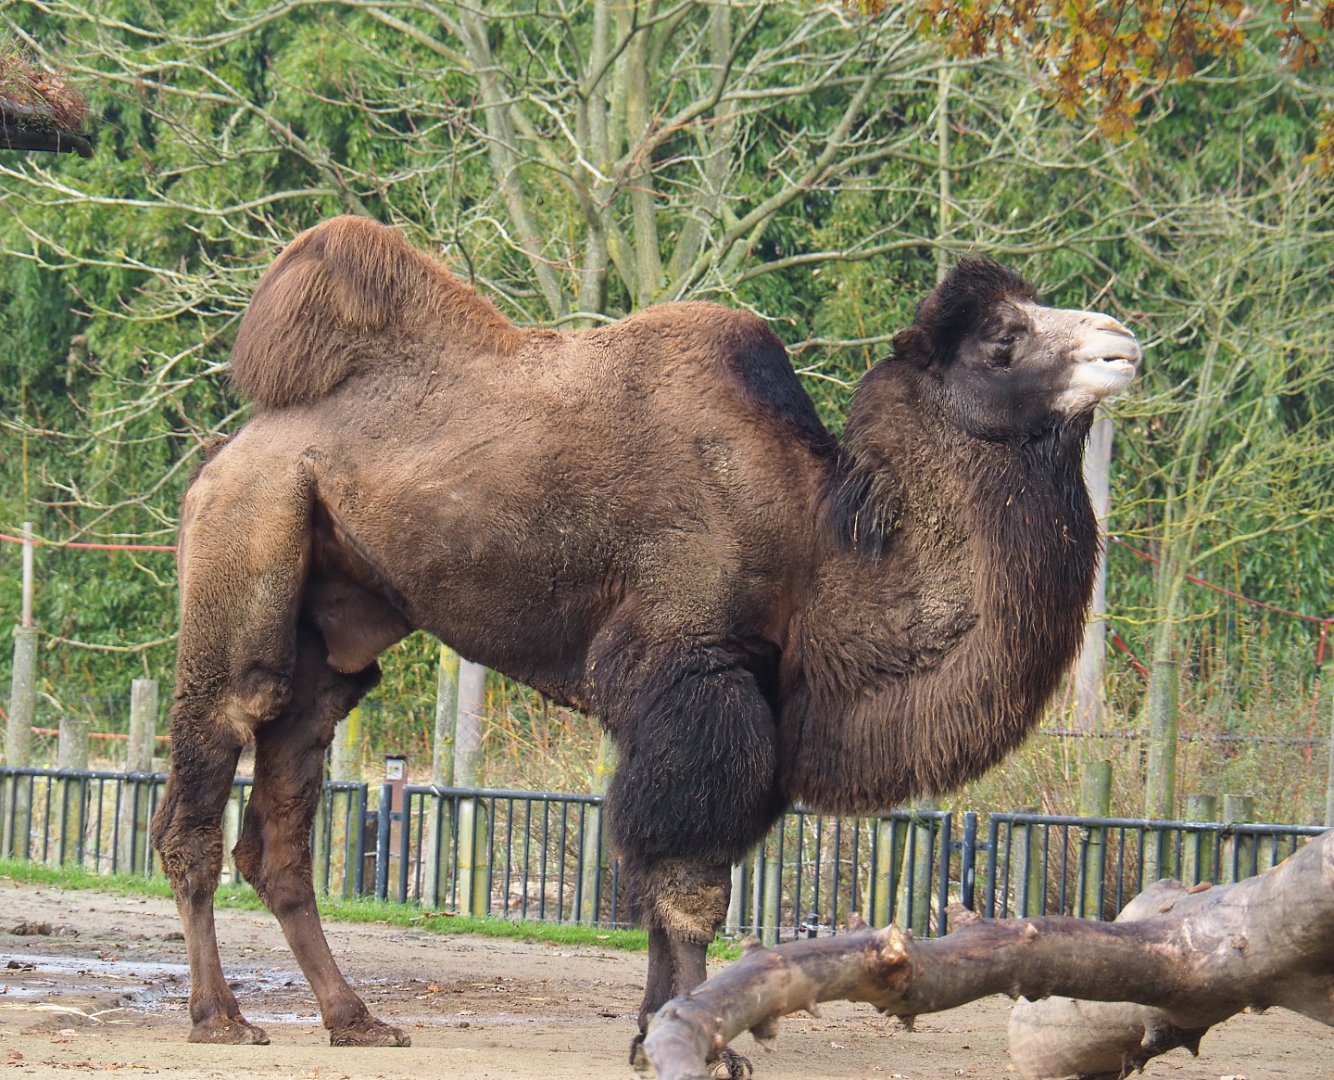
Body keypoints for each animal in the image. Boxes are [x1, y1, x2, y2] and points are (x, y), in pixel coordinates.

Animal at [150, 216, 1140, 1060]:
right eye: (1001, 339)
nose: (1123, 343)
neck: (818, 538)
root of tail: (227, 456)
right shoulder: (690, 671)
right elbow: (688, 881)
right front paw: (703, 1041)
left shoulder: (747, 698)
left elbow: (681, 873)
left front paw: (654, 1027)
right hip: (245, 538)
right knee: (209, 771)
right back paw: (220, 1018)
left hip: (332, 632)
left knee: (283, 824)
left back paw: (354, 1020)